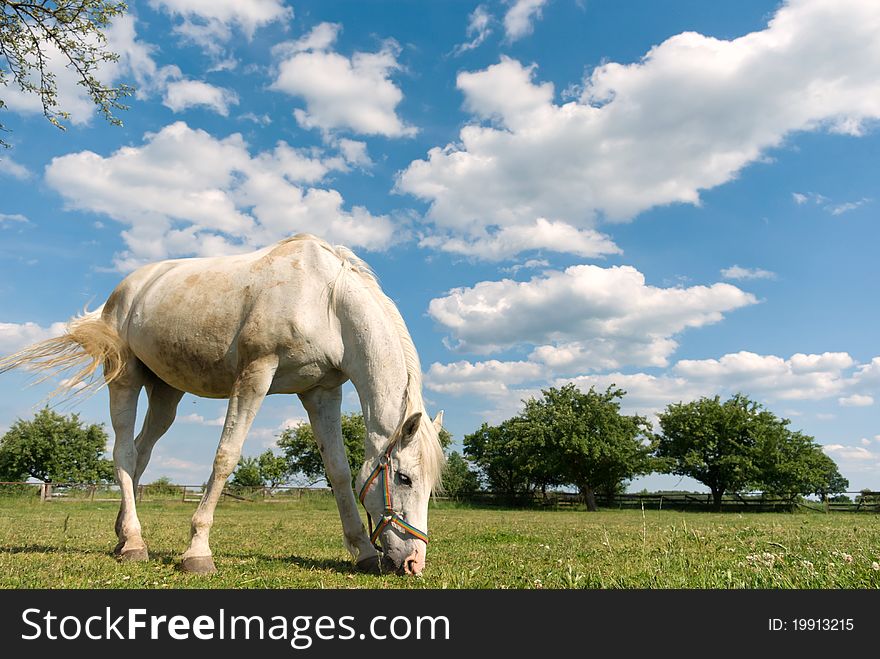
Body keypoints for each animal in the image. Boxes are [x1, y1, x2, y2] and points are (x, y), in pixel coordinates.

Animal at [0, 235, 440, 576]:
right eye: (404, 478)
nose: (414, 563)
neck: (326, 302)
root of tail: (124, 292)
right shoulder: (255, 375)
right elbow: (225, 456)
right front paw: (197, 552)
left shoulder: (321, 392)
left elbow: (340, 472)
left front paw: (363, 552)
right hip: (125, 379)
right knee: (123, 452)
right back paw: (135, 544)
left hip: (166, 394)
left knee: (140, 453)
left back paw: (123, 536)